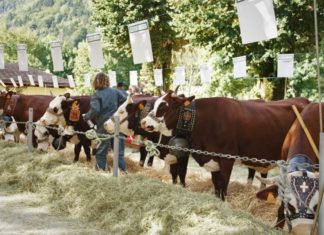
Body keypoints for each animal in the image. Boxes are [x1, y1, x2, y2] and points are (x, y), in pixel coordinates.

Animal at [141, 92, 308, 200]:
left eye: (164, 106)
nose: (143, 122)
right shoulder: (214, 160)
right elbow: (216, 187)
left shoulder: (227, 159)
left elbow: (223, 186)